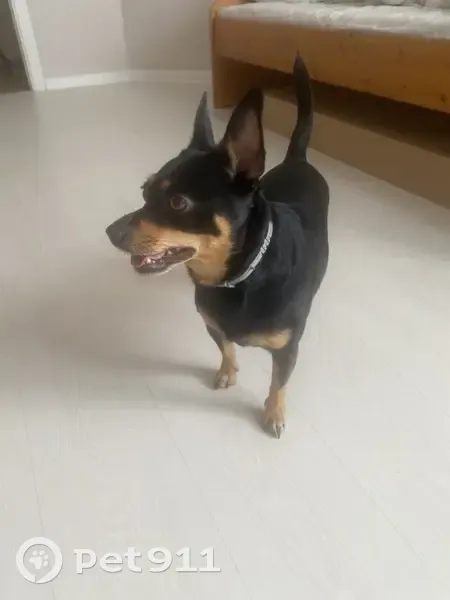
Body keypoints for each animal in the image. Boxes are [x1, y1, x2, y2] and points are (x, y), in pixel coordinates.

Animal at [106, 55, 329, 438]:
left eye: (178, 203)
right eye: (144, 191)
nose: (109, 232)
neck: (238, 278)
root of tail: (297, 159)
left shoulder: (287, 349)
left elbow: (279, 382)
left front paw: (274, 413)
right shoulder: (212, 324)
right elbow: (226, 347)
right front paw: (227, 371)